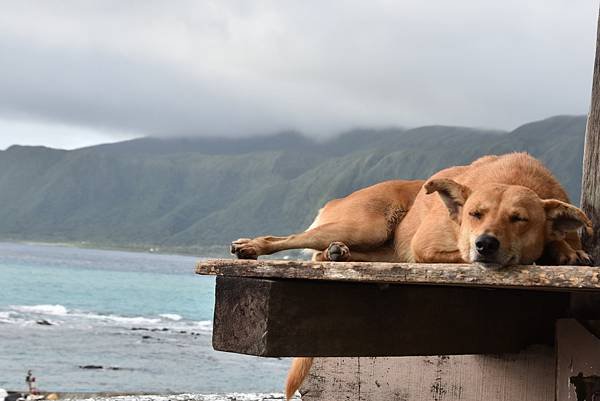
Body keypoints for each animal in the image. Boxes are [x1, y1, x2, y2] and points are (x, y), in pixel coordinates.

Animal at [232, 152, 592, 398]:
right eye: (475, 214)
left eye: (519, 219)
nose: (485, 244)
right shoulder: (427, 247)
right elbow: (460, 256)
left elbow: (558, 240)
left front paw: (566, 251)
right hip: (366, 225)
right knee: (289, 239)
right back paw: (252, 246)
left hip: (376, 243)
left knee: (328, 254)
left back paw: (338, 253)